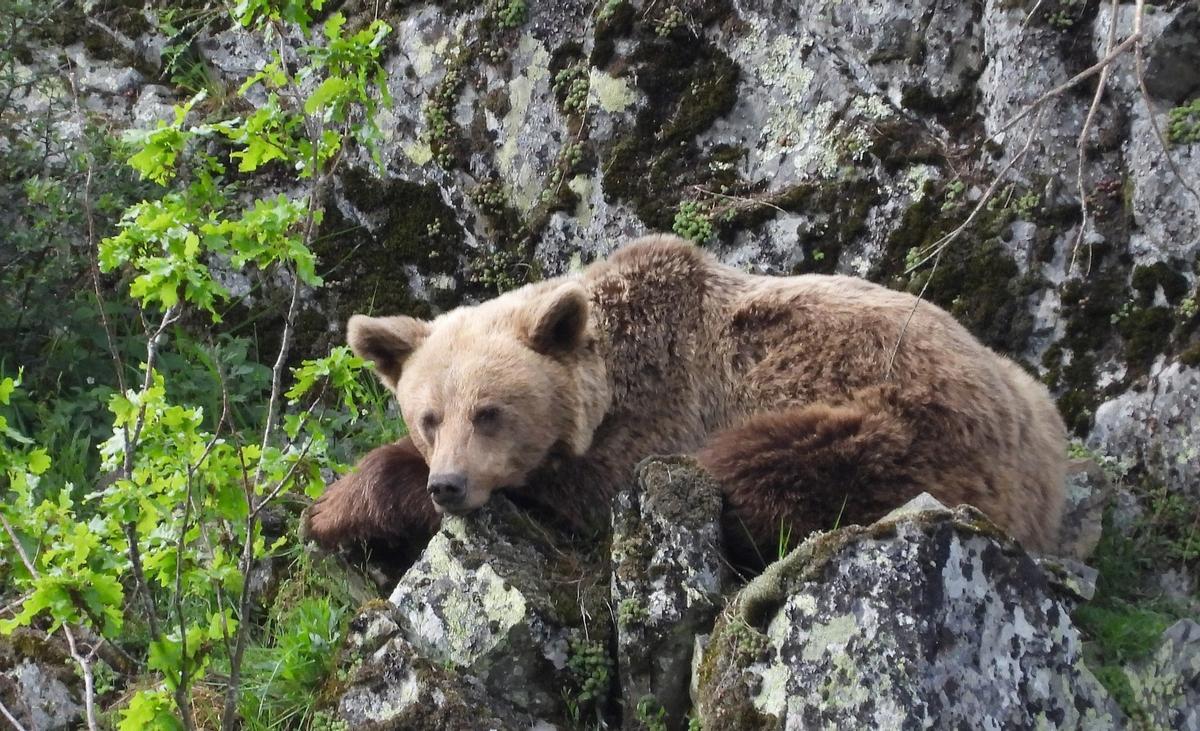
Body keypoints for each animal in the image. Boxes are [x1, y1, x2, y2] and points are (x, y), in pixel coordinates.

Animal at [309, 234, 1070, 564]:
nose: (449, 484)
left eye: (491, 412)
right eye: (428, 417)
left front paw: (340, 508)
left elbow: (583, 498)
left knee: (767, 463)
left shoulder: (662, 413)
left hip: (917, 425)